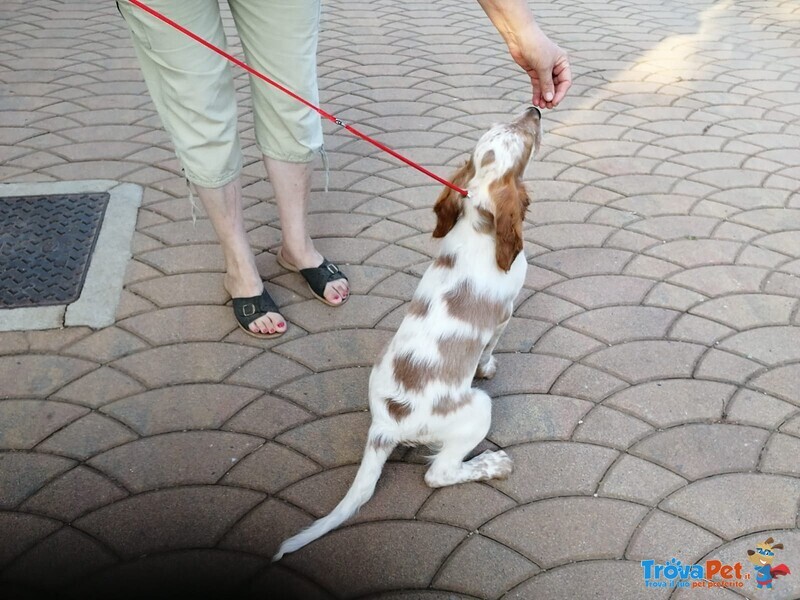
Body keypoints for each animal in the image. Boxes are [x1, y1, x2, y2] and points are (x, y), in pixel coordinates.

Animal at [272, 108, 540, 564]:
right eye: (522, 142)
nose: (535, 110)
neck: (479, 224)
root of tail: (385, 424)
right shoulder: (504, 315)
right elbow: (489, 348)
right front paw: (487, 367)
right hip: (477, 410)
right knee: (438, 474)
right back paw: (493, 464)